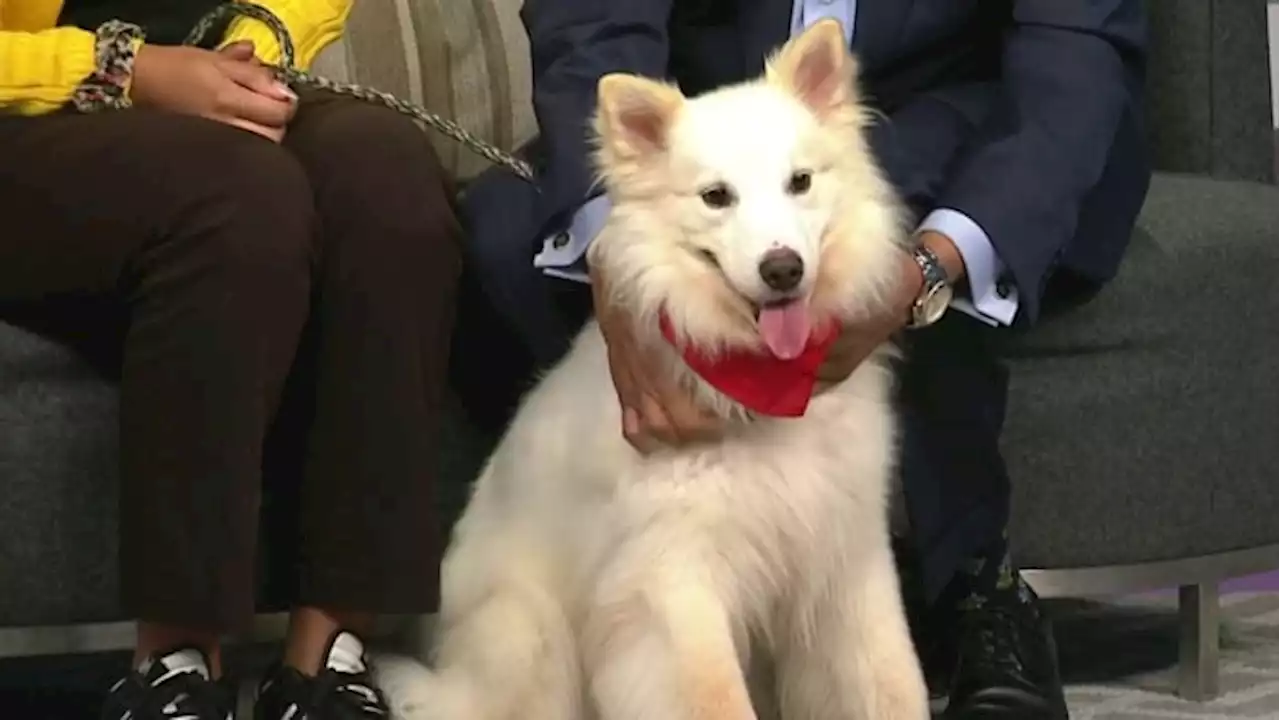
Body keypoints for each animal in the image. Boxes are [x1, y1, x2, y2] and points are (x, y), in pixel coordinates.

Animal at [378, 20, 931, 717]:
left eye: (800, 182)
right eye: (716, 197)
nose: (783, 269)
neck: (762, 391)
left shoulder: (842, 563)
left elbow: (889, 683)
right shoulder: (669, 590)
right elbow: (715, 698)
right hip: (530, 636)